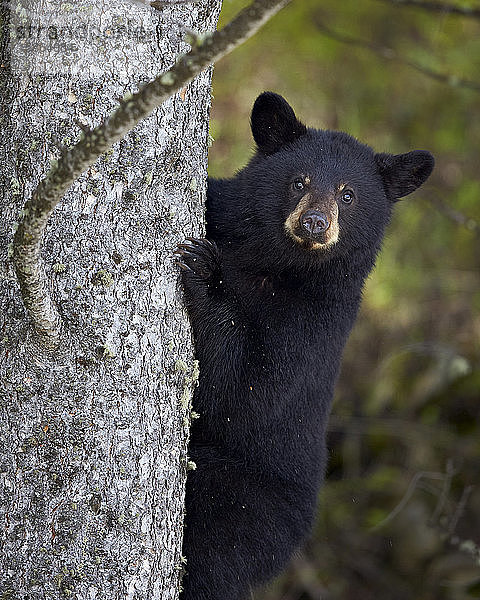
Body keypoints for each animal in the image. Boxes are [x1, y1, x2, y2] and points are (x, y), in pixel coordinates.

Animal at [176, 90, 436, 600]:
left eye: (348, 194)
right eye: (300, 181)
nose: (314, 224)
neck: (272, 263)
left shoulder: (316, 322)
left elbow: (248, 393)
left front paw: (205, 273)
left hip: (245, 507)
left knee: (212, 556)